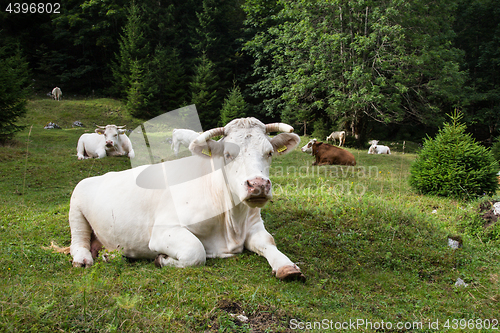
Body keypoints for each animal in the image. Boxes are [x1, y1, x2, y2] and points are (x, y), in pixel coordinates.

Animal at [69, 118, 306, 282]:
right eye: (228, 154)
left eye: (270, 153)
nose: (258, 185)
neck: (232, 224)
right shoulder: (163, 230)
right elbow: (196, 251)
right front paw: (162, 259)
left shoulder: (254, 225)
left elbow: (269, 241)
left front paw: (287, 266)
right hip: (76, 207)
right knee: (78, 239)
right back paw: (83, 259)